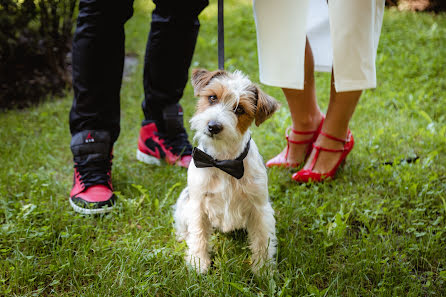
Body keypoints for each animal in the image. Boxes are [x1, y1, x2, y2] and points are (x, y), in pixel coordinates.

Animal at [173, 68, 278, 272]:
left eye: (239, 109)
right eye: (212, 97)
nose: (213, 126)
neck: (222, 161)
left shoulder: (259, 208)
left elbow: (262, 240)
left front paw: (263, 269)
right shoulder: (197, 204)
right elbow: (198, 235)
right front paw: (198, 263)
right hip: (184, 200)